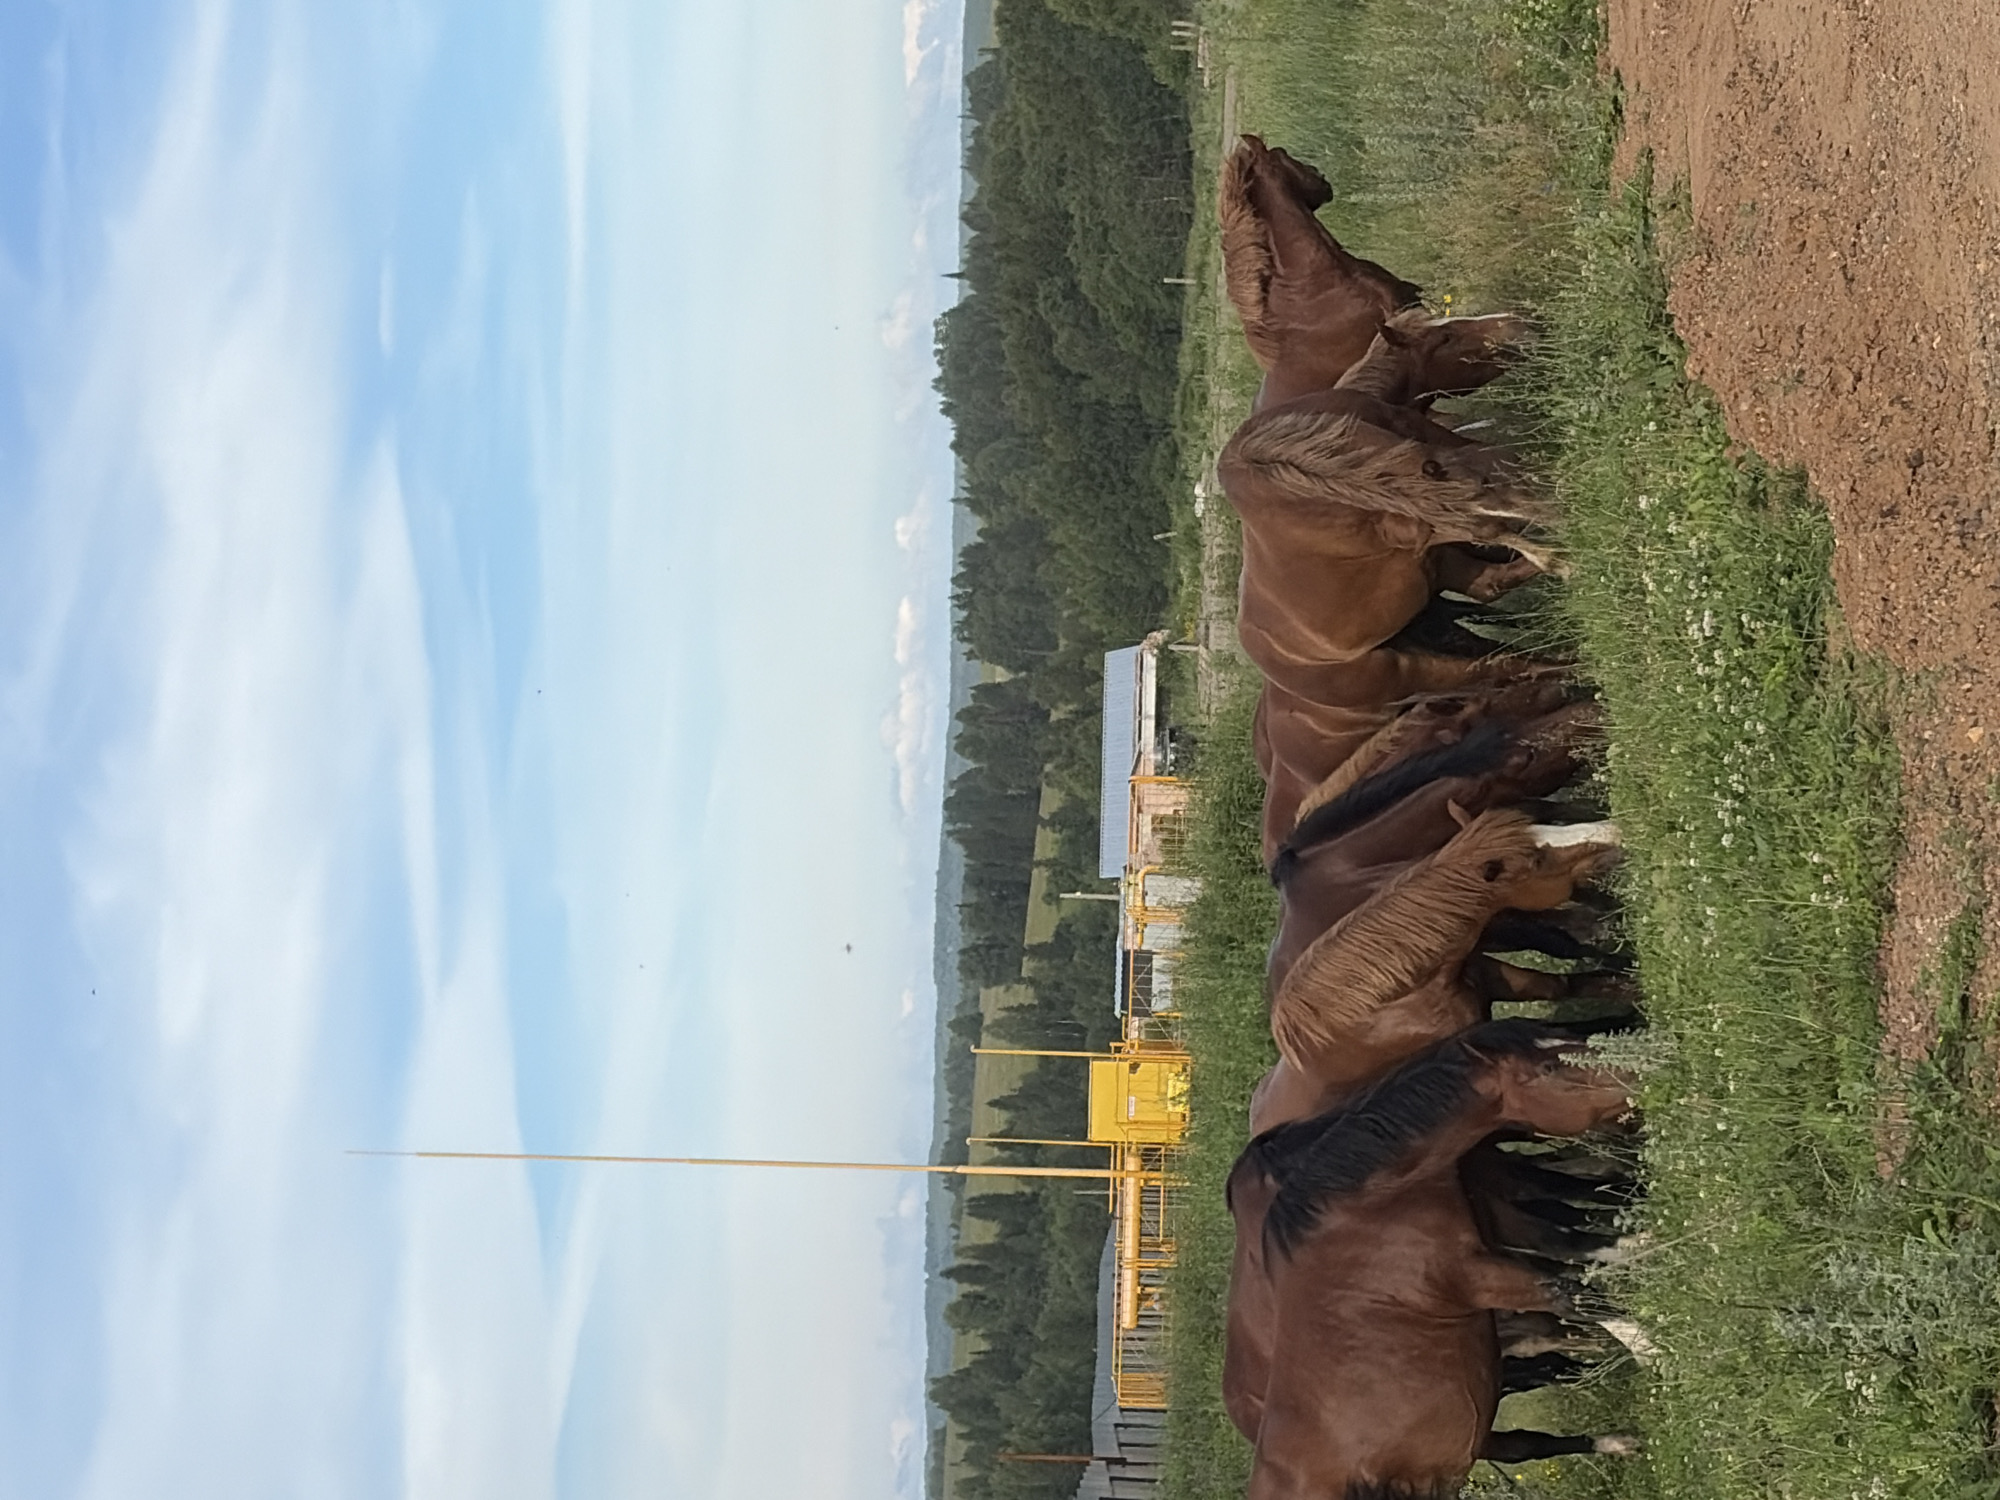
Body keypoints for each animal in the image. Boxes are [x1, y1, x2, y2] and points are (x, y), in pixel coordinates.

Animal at [1228, 1021, 1642, 1493]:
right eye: (1549, 1068)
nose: (1641, 1062)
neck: (1367, 1205)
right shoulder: (1481, 1269)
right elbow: (1572, 1290)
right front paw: (1652, 1348)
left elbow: (1574, 1241)